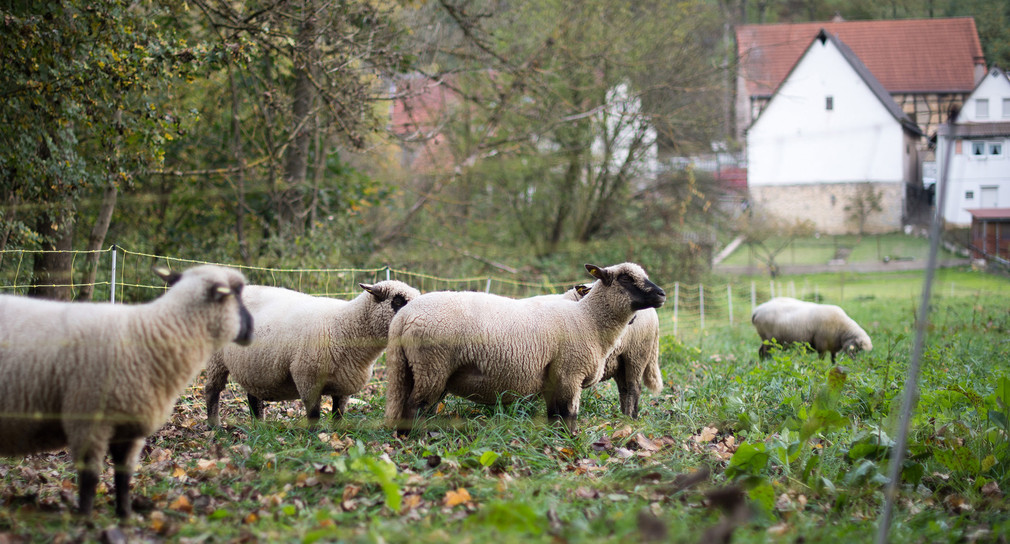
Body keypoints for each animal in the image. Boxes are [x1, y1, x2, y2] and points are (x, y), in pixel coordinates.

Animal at [0, 264, 252, 520]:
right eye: (237, 293)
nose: (251, 328)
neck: (149, 335)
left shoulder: (130, 425)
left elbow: (123, 473)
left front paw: (125, 514)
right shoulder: (88, 421)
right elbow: (90, 476)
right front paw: (86, 518)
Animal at [207, 280, 420, 425]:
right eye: (398, 301)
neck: (345, 326)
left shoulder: (344, 385)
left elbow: (338, 413)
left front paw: (336, 434)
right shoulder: (307, 377)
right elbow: (314, 414)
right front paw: (315, 437)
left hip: (253, 365)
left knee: (253, 397)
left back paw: (259, 425)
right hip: (216, 359)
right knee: (212, 391)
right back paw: (215, 426)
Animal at [561, 282, 662, 419]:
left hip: (637, 354)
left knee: (634, 388)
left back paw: (631, 418)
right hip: (619, 362)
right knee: (624, 389)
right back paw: (624, 417)